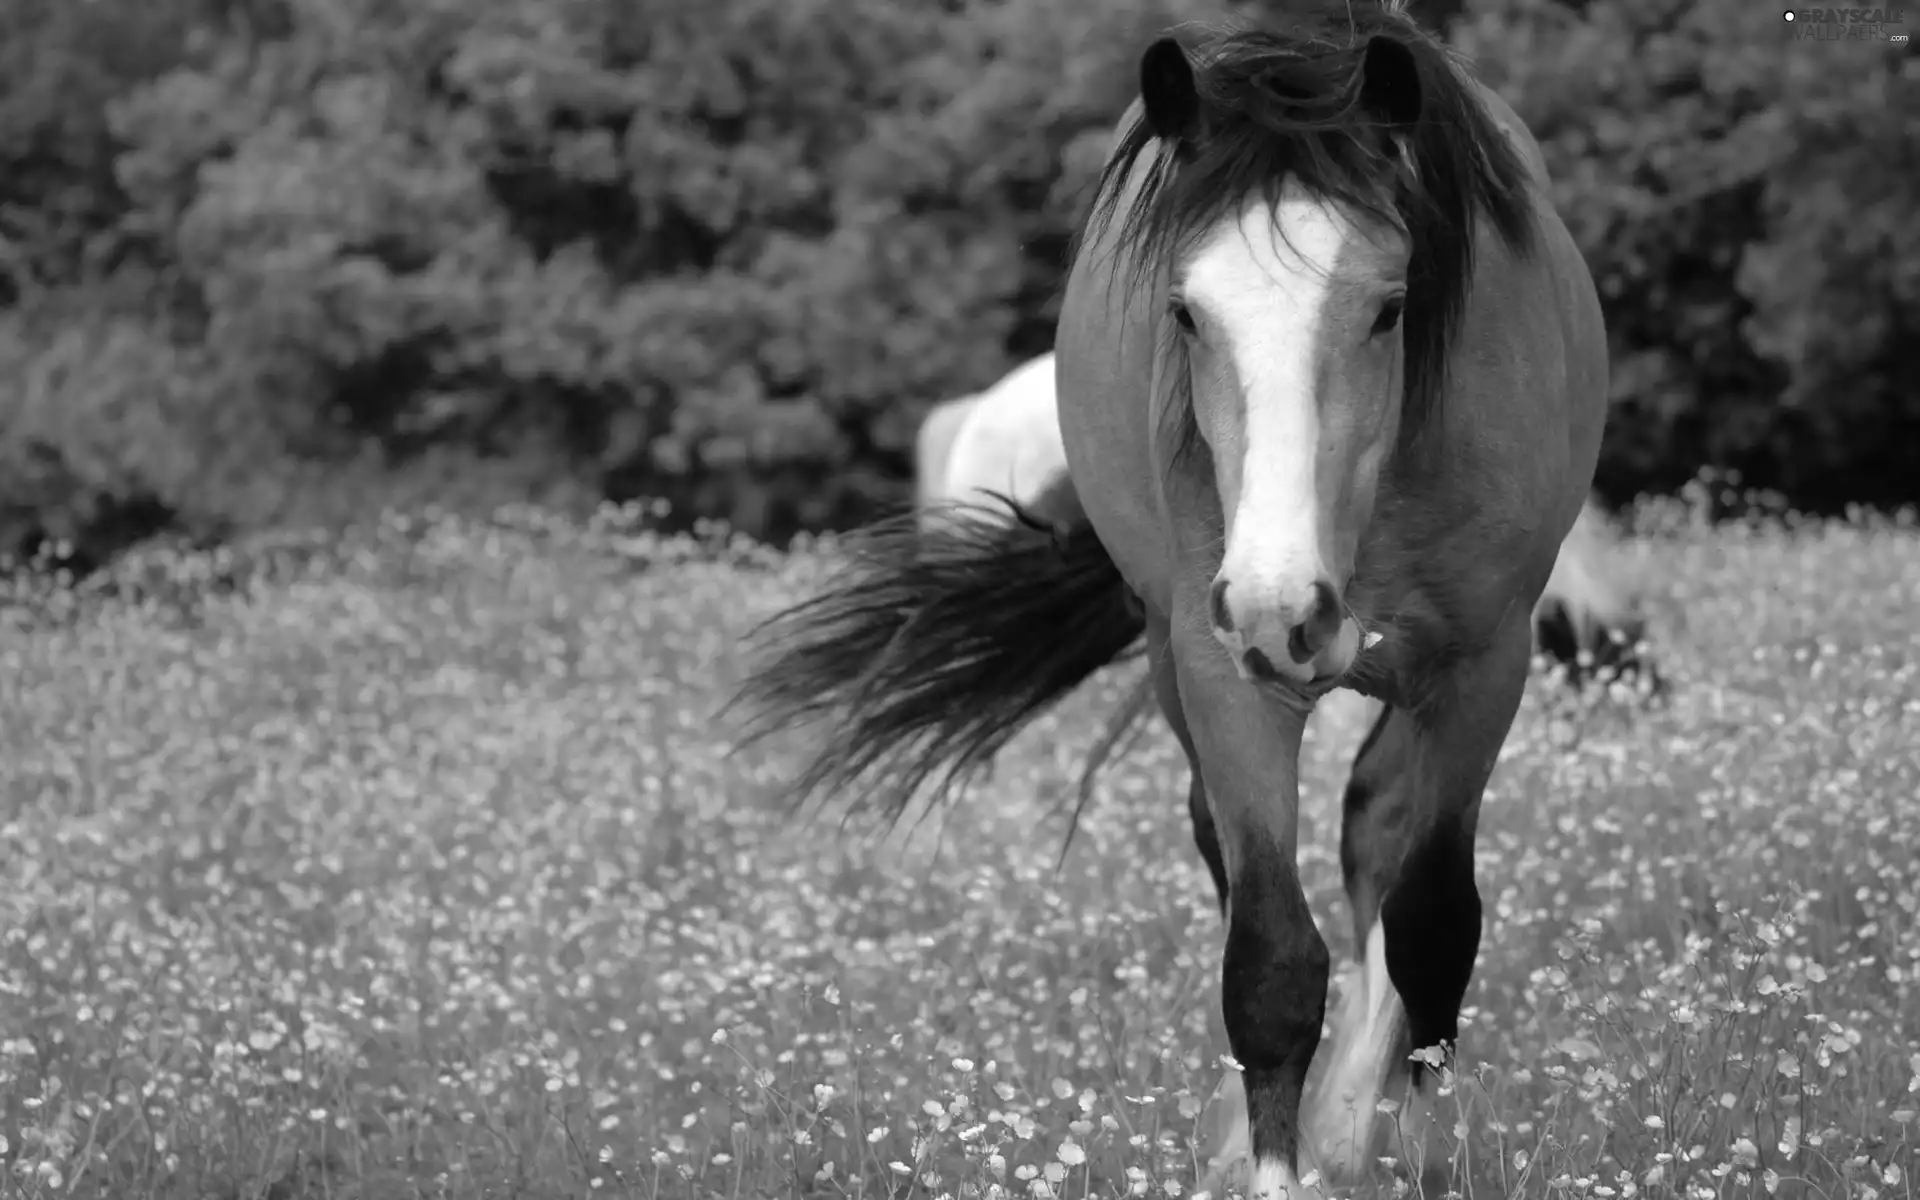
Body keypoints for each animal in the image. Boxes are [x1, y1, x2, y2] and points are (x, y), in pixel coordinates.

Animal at [737, 7, 1620, 1190]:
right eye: (1188, 313)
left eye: (1391, 306)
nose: (1284, 607)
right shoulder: (1227, 675)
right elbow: (1271, 965)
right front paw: (1273, 1158)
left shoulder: (1482, 667)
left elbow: (1433, 925)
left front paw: (1409, 1149)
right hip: (1181, 656)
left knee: (1377, 835)